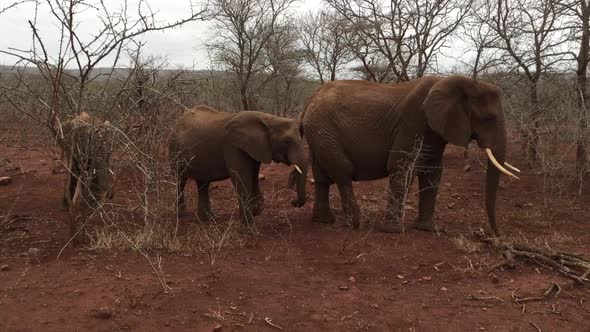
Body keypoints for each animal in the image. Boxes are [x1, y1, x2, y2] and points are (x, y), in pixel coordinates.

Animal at [168, 105, 310, 227]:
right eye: (286, 142)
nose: (293, 202)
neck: (268, 119)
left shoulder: (255, 149)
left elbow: (253, 177)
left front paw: (256, 211)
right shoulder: (233, 147)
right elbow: (242, 179)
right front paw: (247, 226)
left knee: (203, 183)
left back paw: (208, 219)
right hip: (175, 149)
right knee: (180, 180)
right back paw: (182, 215)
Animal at [300, 76, 524, 236]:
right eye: (489, 118)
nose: (496, 235)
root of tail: (309, 100)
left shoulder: (435, 131)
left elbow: (433, 173)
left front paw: (426, 229)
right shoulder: (413, 122)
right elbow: (401, 166)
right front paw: (393, 231)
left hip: (319, 133)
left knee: (322, 177)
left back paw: (323, 221)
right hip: (325, 130)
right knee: (343, 172)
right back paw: (355, 224)